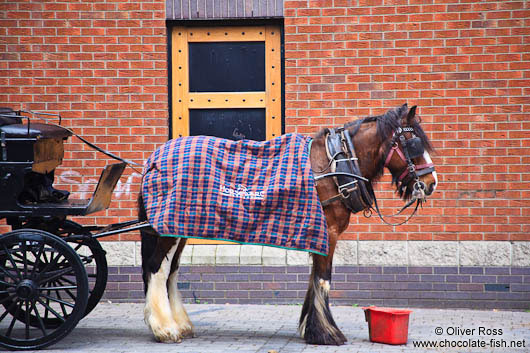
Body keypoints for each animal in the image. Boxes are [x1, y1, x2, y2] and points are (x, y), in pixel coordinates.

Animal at [137, 103, 438, 346]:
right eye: (412, 143)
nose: (430, 183)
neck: (337, 165)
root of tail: (154, 159)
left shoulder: (317, 234)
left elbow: (314, 280)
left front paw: (310, 328)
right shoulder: (328, 233)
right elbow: (323, 279)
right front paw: (327, 333)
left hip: (178, 227)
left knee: (172, 271)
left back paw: (181, 325)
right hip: (166, 230)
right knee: (156, 269)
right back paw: (164, 328)